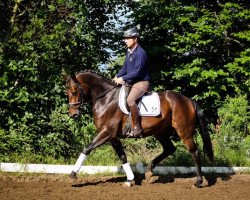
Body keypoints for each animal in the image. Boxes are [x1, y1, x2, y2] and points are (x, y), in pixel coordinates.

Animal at [64, 70, 213, 188]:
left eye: (74, 91)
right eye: (67, 92)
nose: (73, 114)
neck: (106, 98)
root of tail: (188, 100)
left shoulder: (107, 132)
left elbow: (87, 148)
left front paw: (72, 174)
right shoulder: (113, 136)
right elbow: (123, 157)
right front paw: (130, 180)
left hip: (184, 132)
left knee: (194, 152)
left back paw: (198, 182)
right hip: (160, 132)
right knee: (170, 149)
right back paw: (149, 171)